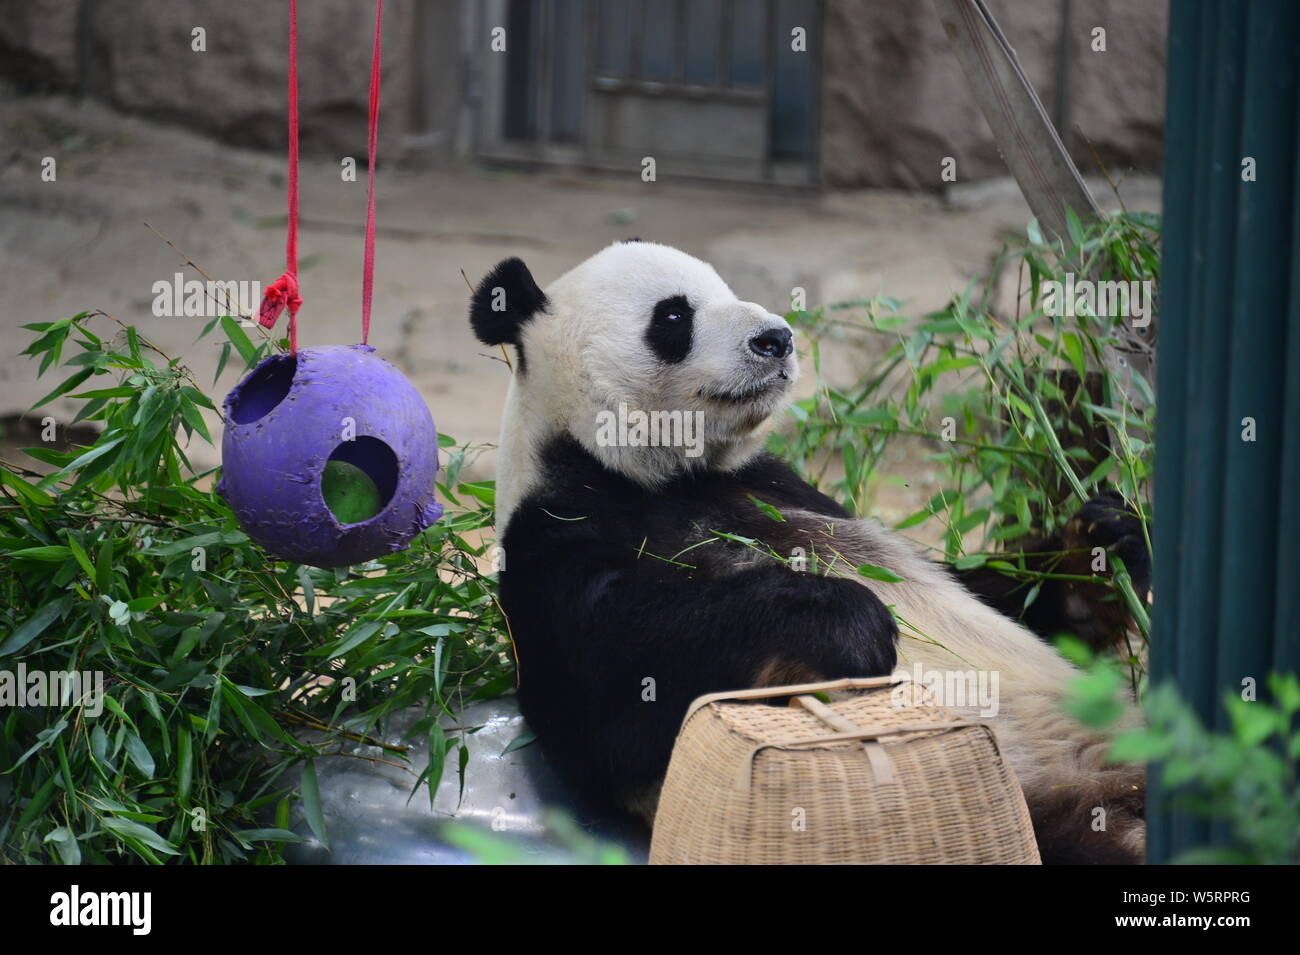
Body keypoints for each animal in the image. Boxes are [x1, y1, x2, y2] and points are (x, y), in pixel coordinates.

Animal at [467, 239, 1149, 867]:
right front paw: (849, 622)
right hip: (1040, 808)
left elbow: (1000, 595)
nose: (776, 338)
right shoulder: (558, 539)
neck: (666, 476)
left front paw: (1101, 545)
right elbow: (622, 696)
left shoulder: (784, 487)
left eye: (727, 289)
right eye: (674, 315)